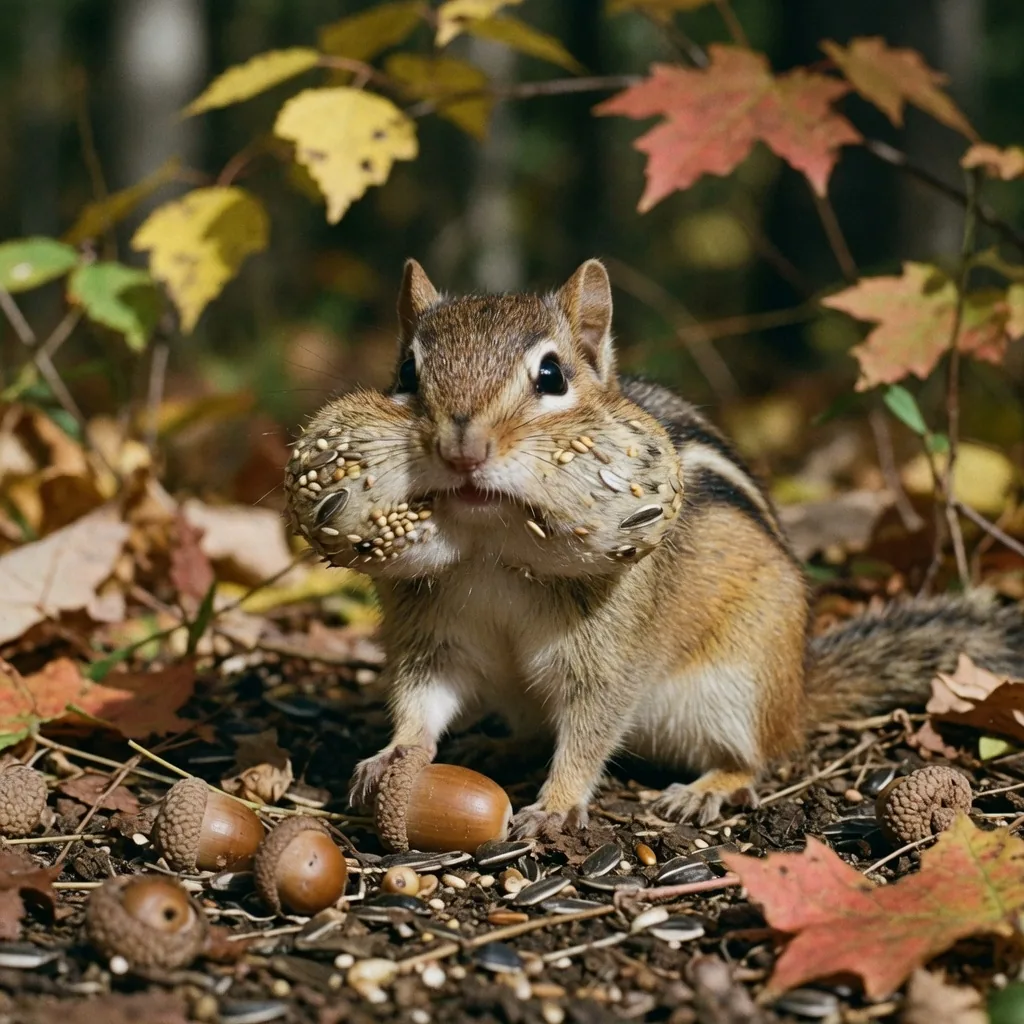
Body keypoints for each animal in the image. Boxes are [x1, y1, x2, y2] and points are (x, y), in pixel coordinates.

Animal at [284, 258, 1024, 835]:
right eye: (407, 373)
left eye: (551, 376)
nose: (461, 448)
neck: (491, 545)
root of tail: (797, 694)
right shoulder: (432, 634)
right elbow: (422, 697)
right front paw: (394, 756)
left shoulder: (611, 652)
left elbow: (592, 727)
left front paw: (556, 803)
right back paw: (502, 747)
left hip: (737, 686)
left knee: (755, 758)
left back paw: (706, 789)